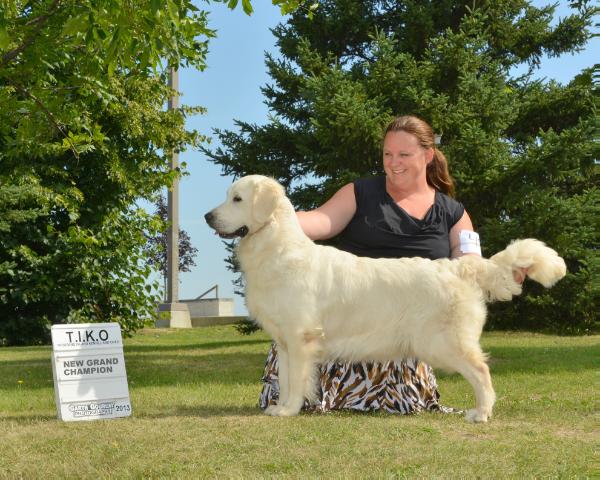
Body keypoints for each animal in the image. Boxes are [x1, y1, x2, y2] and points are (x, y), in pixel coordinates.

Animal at [206, 174, 568, 422]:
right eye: (228, 197)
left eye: (237, 198)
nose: (209, 217)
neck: (275, 247)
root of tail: (459, 267)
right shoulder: (283, 340)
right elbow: (284, 377)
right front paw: (280, 406)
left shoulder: (300, 337)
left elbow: (296, 380)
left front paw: (289, 410)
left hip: (442, 342)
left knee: (481, 370)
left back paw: (481, 413)